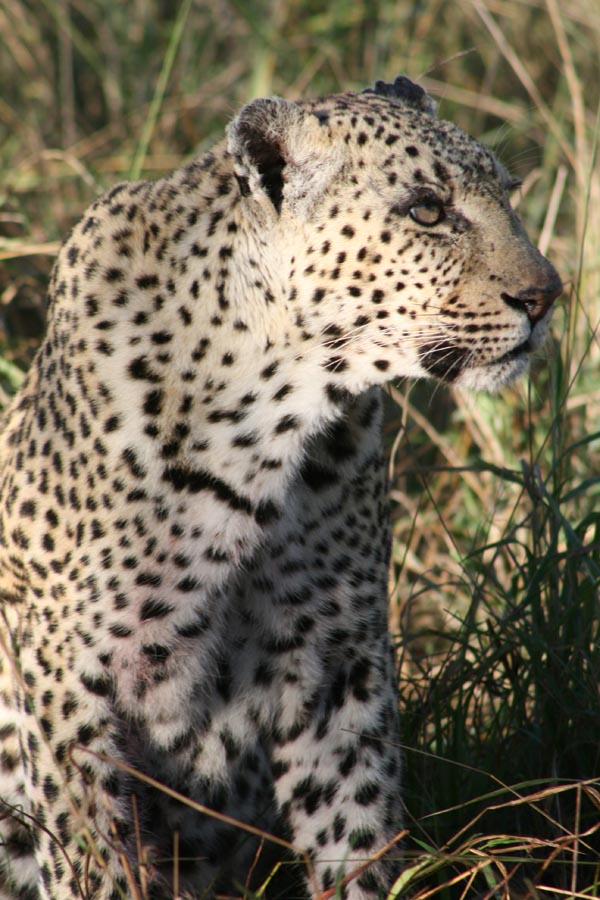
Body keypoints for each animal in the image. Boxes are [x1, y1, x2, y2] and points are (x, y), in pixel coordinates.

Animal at [0, 79, 564, 900]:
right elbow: (92, 864)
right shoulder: (71, 695)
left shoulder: (333, 657)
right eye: (426, 209)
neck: (266, 420)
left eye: (509, 195)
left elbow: (356, 830)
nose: (547, 296)